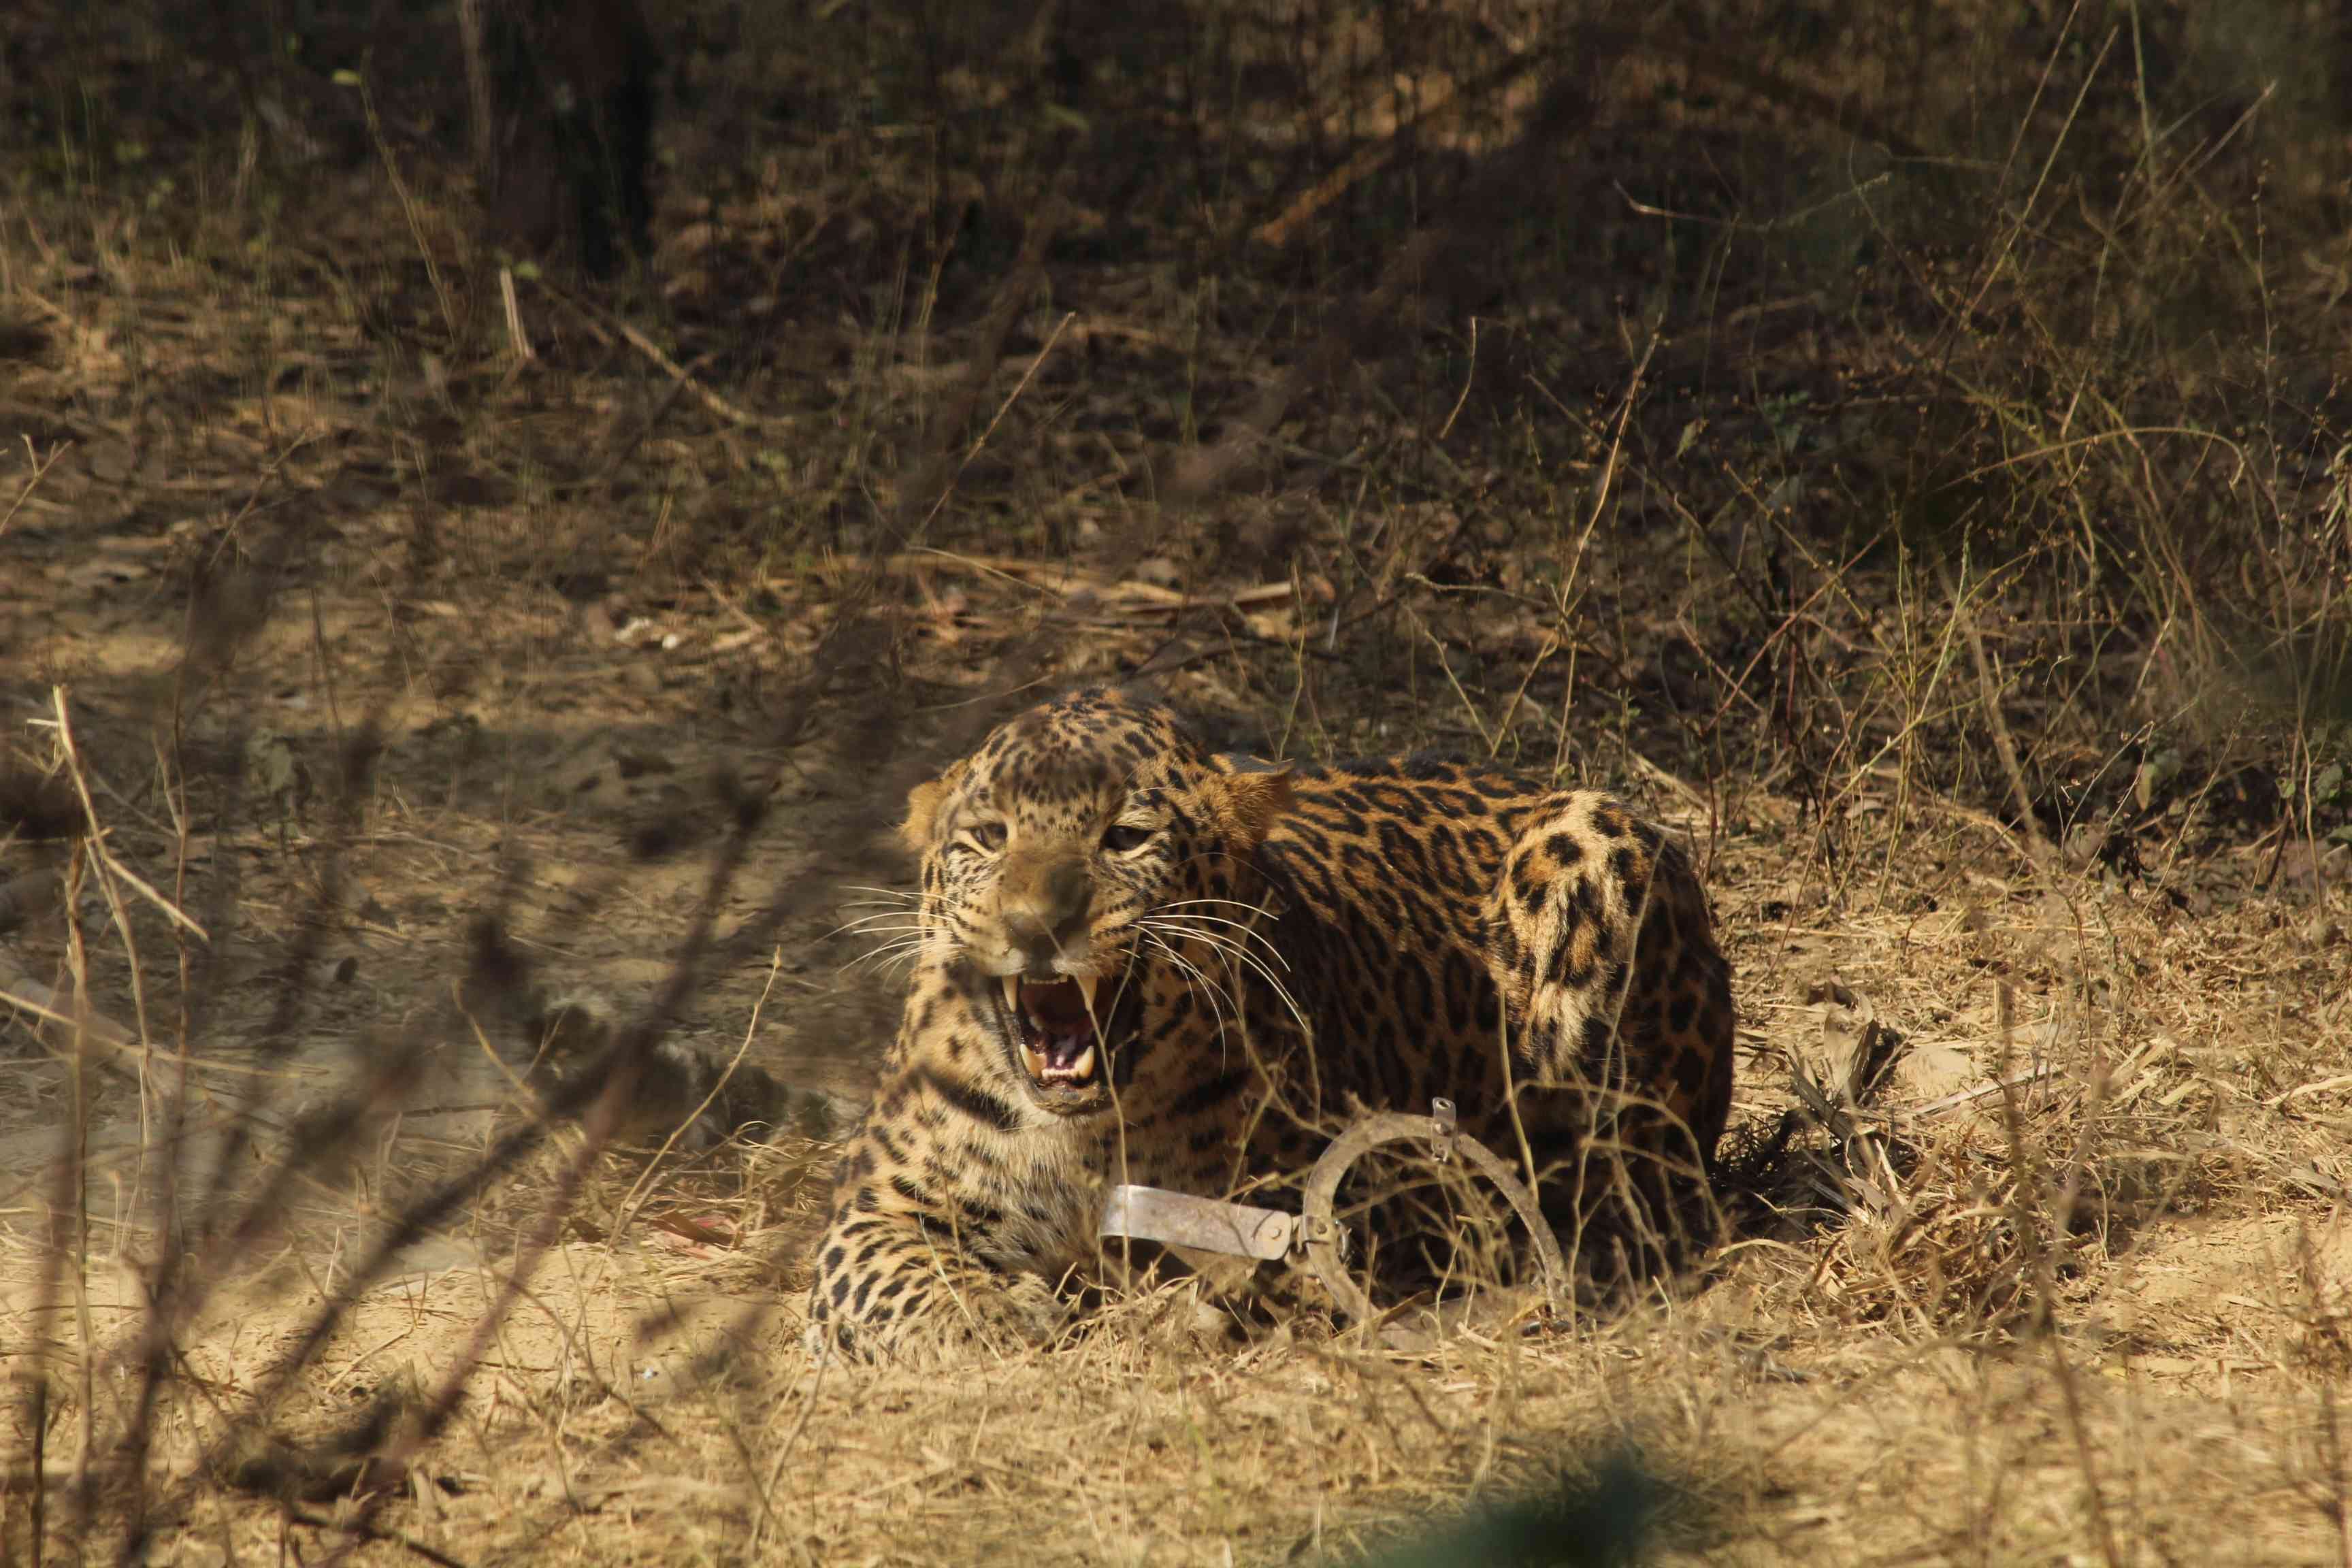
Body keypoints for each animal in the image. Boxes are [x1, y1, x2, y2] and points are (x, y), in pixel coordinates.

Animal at [804, 687, 1735, 1359]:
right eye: (989, 837)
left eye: (1126, 837)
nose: (1035, 926)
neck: (1086, 1132)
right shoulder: (875, 1213)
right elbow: (900, 1276)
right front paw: (994, 1318)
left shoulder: (1359, 1204)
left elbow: (1272, 1272)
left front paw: (1188, 1313)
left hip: (1588, 837)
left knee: (1645, 1190)